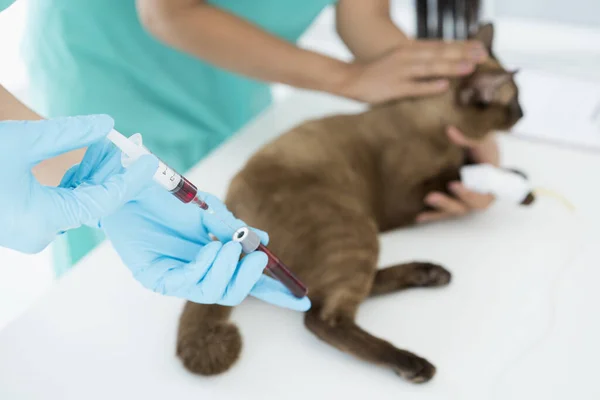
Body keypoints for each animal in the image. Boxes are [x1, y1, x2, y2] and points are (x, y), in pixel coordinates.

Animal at [176, 22, 524, 384]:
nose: (523, 114)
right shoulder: (410, 197)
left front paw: (512, 177)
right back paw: (413, 362)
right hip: (355, 227)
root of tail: (228, 219)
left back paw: (430, 273)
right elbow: (463, 173)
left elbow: (474, 163)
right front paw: (518, 186)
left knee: (322, 295)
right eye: (514, 101)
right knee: (322, 316)